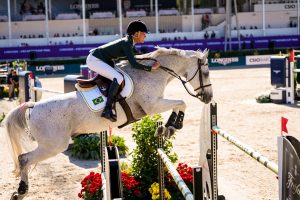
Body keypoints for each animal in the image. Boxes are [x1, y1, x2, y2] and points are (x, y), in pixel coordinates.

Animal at [3, 46, 212, 198]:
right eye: (206, 73)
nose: (208, 97)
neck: (151, 74)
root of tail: (33, 106)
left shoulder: (156, 104)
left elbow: (179, 104)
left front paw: (168, 128)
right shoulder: (152, 106)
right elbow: (182, 102)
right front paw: (174, 125)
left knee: (24, 159)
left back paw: (20, 191)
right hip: (53, 146)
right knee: (24, 159)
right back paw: (21, 191)